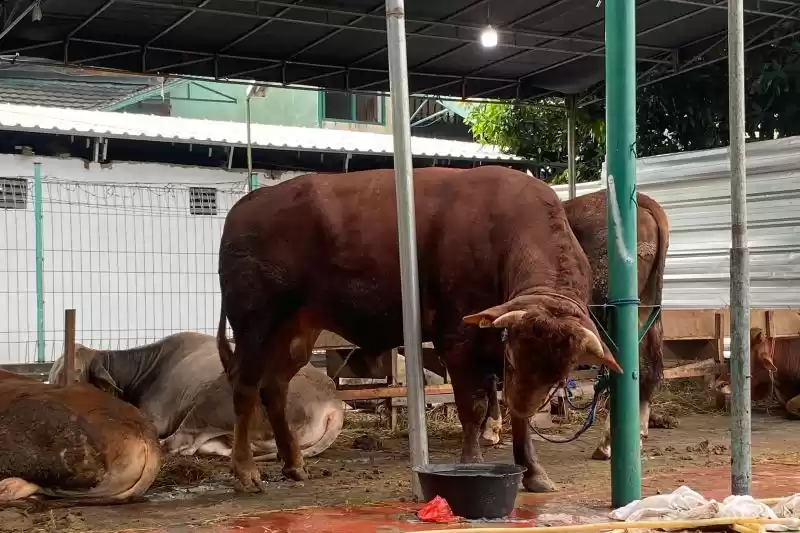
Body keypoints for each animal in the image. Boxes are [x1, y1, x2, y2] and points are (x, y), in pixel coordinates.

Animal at [216, 166, 622, 494]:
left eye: (560, 374)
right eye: (512, 355)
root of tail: (249, 202)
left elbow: (515, 417)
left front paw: (533, 471)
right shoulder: (457, 339)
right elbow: (473, 406)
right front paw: (472, 464)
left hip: (296, 329)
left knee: (274, 387)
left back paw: (293, 463)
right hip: (255, 322)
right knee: (244, 386)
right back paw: (246, 471)